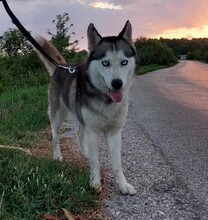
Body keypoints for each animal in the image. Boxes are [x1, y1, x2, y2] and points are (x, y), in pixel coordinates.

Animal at [34, 20, 136, 194]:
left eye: (124, 62)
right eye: (105, 63)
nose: (117, 83)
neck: (106, 100)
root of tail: (61, 66)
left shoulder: (114, 132)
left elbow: (117, 164)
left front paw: (123, 185)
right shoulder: (92, 130)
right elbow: (95, 162)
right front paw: (95, 183)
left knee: (80, 133)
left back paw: (86, 153)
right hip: (58, 115)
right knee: (55, 136)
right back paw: (57, 156)